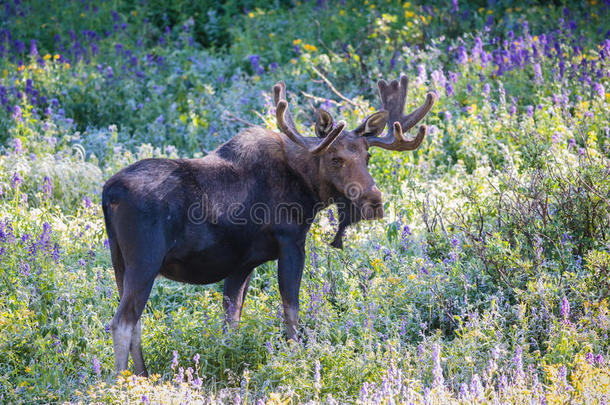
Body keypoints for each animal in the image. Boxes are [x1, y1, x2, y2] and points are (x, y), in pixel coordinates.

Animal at [101, 74, 432, 374]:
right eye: (335, 158)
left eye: (367, 156)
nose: (374, 201)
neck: (307, 188)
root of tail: (109, 193)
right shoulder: (291, 242)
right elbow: (291, 310)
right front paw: (295, 356)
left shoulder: (241, 265)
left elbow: (232, 322)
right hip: (145, 260)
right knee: (121, 322)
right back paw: (121, 382)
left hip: (120, 261)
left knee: (135, 320)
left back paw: (141, 375)